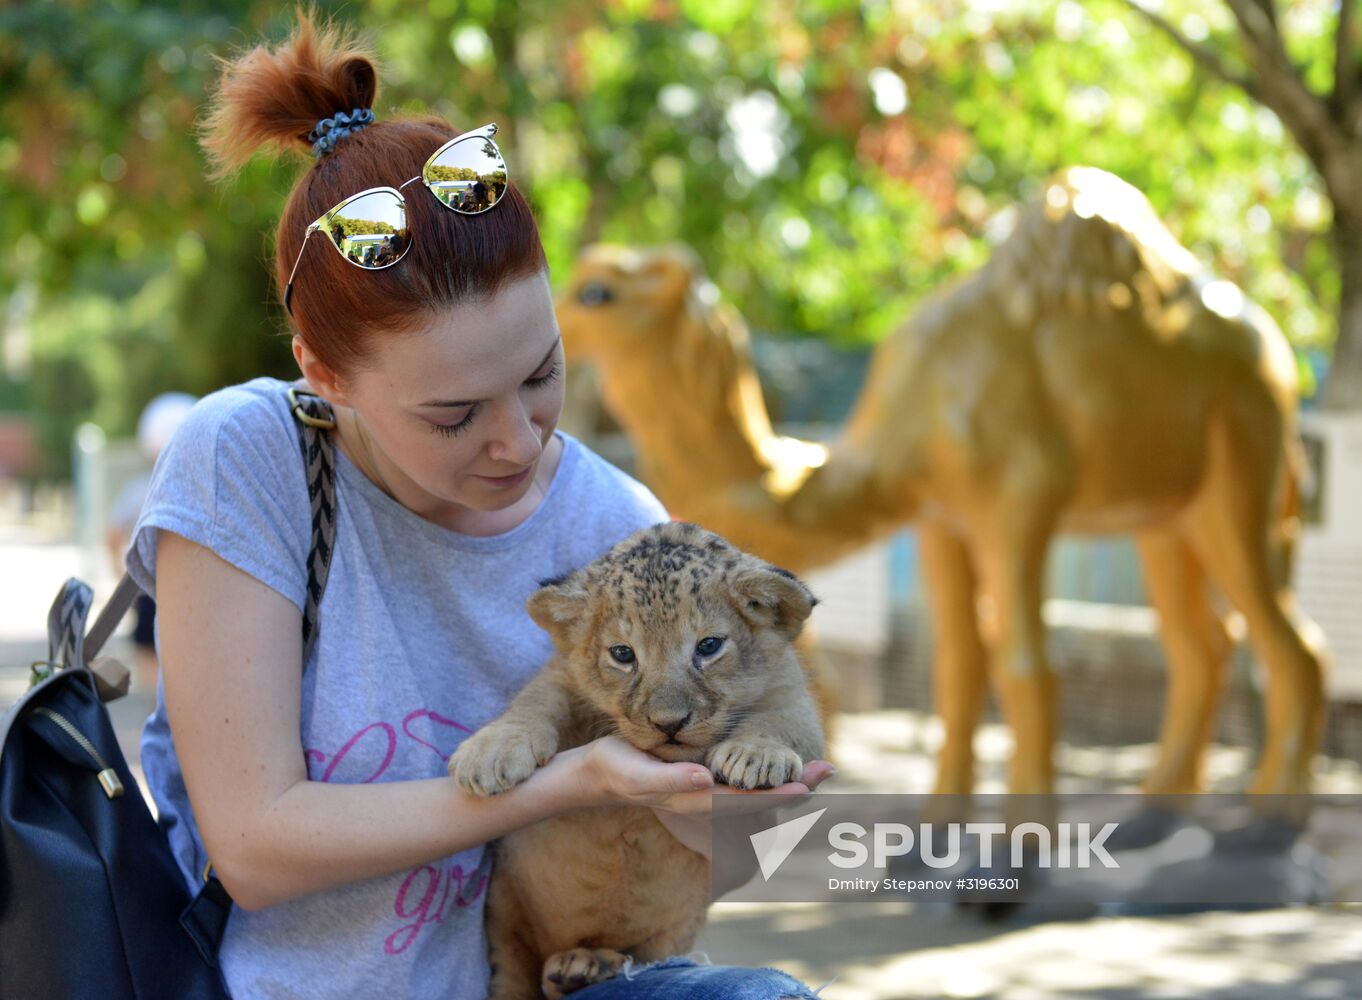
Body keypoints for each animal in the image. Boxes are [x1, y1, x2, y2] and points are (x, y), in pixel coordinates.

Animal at [448, 521, 825, 999]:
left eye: (709, 646)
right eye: (623, 654)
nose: (669, 723)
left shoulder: (792, 697)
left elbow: (781, 723)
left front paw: (754, 756)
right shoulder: (562, 674)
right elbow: (535, 700)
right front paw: (490, 752)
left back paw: (586, 964)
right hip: (504, 921)